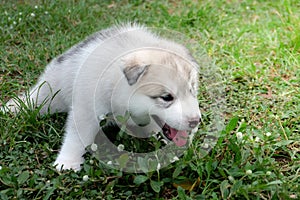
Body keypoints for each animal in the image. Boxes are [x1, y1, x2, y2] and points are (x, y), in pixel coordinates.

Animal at [2, 23, 202, 170]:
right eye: (167, 97)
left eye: (192, 91)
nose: (196, 121)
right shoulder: (86, 108)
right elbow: (76, 136)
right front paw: (68, 162)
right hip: (52, 90)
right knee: (36, 98)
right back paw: (12, 107)